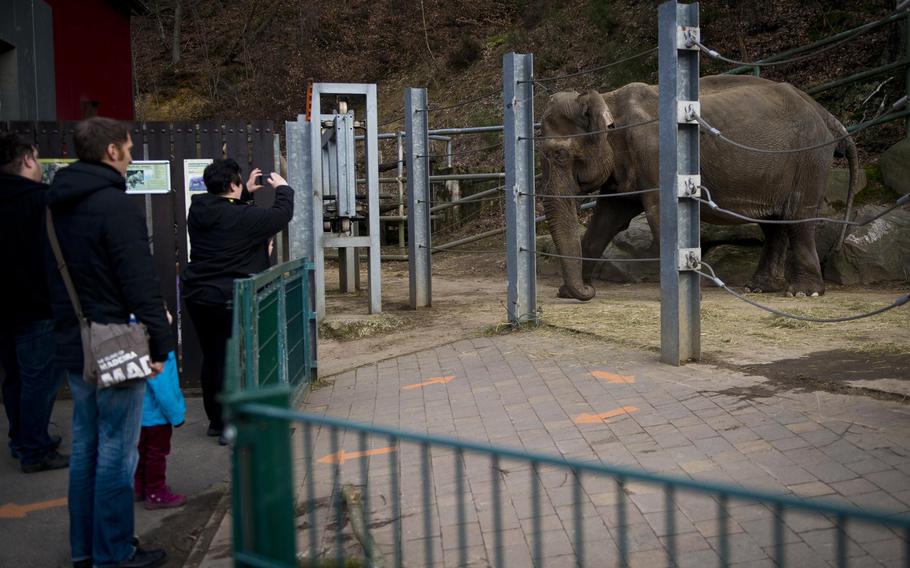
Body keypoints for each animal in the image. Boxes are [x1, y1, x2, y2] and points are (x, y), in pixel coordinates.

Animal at [536, 75, 860, 302]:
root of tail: (825, 113)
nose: (588, 291)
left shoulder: (658, 154)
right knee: (773, 224)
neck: (608, 98)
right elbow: (607, 220)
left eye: (560, 155)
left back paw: (803, 293)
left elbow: (659, 213)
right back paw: (758, 288)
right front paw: (570, 291)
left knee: (798, 216)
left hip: (809, 157)